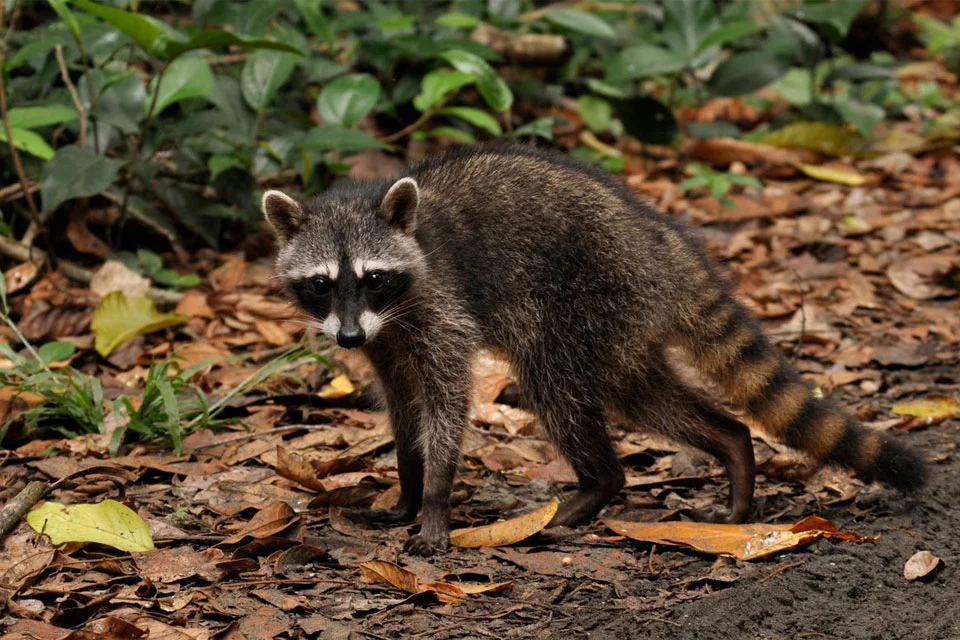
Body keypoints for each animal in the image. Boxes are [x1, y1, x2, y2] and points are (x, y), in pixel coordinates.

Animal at [260, 145, 924, 556]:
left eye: (373, 277)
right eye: (321, 284)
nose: (348, 338)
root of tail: (661, 241)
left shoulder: (439, 307)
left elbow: (447, 403)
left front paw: (435, 497)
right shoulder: (385, 338)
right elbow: (402, 407)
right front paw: (406, 486)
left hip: (590, 298)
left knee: (556, 385)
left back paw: (597, 486)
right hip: (621, 323)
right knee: (644, 391)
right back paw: (733, 448)